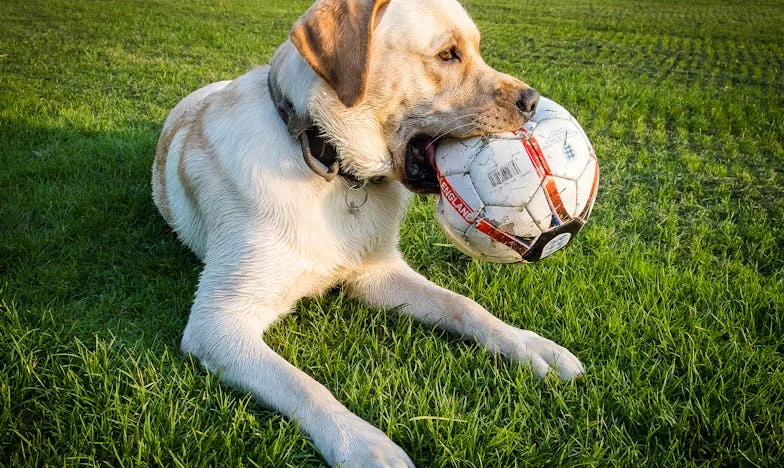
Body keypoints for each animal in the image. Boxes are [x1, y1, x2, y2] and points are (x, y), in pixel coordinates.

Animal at [152, 0, 580, 464]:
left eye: (478, 49)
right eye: (448, 54)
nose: (533, 101)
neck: (325, 163)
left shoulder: (377, 274)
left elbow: (464, 305)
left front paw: (531, 346)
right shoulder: (218, 322)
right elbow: (304, 385)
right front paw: (365, 445)